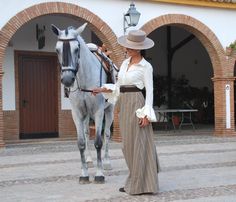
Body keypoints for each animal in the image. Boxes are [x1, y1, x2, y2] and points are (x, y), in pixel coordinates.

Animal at [52, 22, 117, 184]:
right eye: (57, 49)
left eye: (76, 49)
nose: (67, 79)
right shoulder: (77, 113)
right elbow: (81, 142)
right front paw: (84, 174)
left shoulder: (99, 111)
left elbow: (99, 141)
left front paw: (99, 174)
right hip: (86, 115)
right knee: (88, 133)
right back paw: (89, 160)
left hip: (109, 110)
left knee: (107, 134)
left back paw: (107, 162)